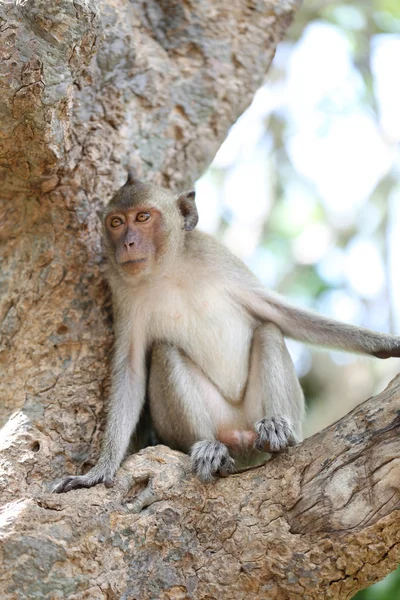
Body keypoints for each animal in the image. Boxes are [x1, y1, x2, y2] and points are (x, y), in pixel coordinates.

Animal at [54, 170, 400, 492]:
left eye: (142, 217)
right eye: (115, 222)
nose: (127, 242)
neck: (168, 271)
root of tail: (240, 435)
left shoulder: (218, 258)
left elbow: (281, 314)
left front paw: (387, 344)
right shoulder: (122, 293)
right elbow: (131, 369)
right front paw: (99, 471)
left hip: (251, 413)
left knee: (269, 331)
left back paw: (277, 432)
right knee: (165, 352)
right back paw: (210, 450)